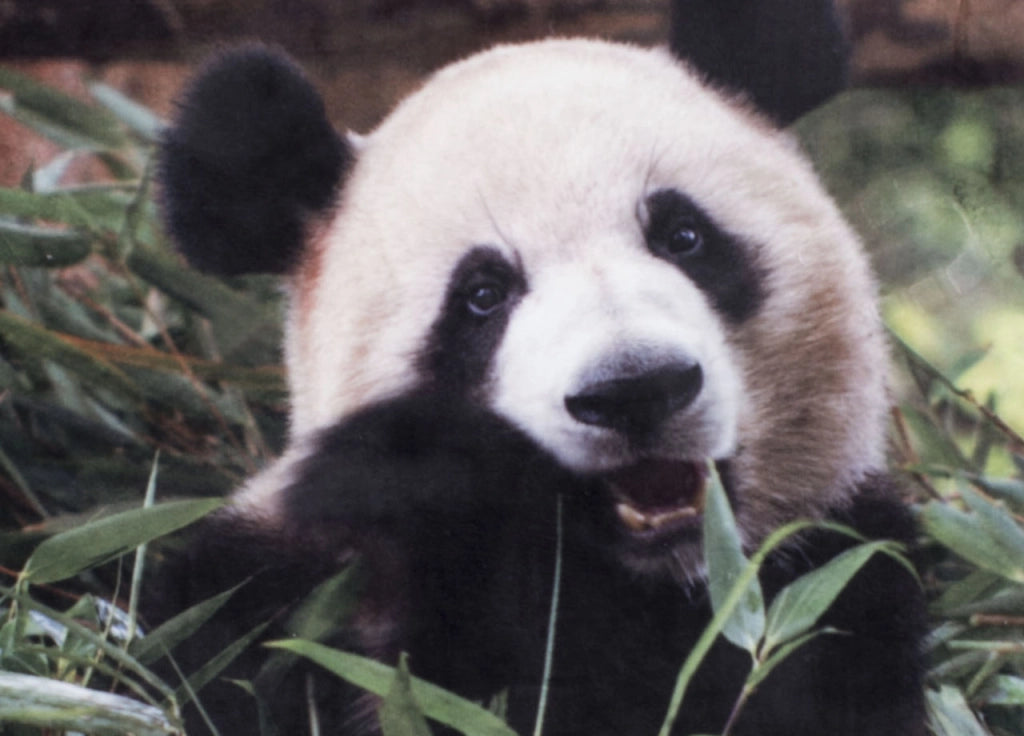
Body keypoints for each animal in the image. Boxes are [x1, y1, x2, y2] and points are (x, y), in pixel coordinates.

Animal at [155, 3, 925, 735]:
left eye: (683, 237)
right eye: (482, 294)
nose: (635, 388)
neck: (662, 579)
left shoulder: (836, 571)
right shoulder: (275, 594)